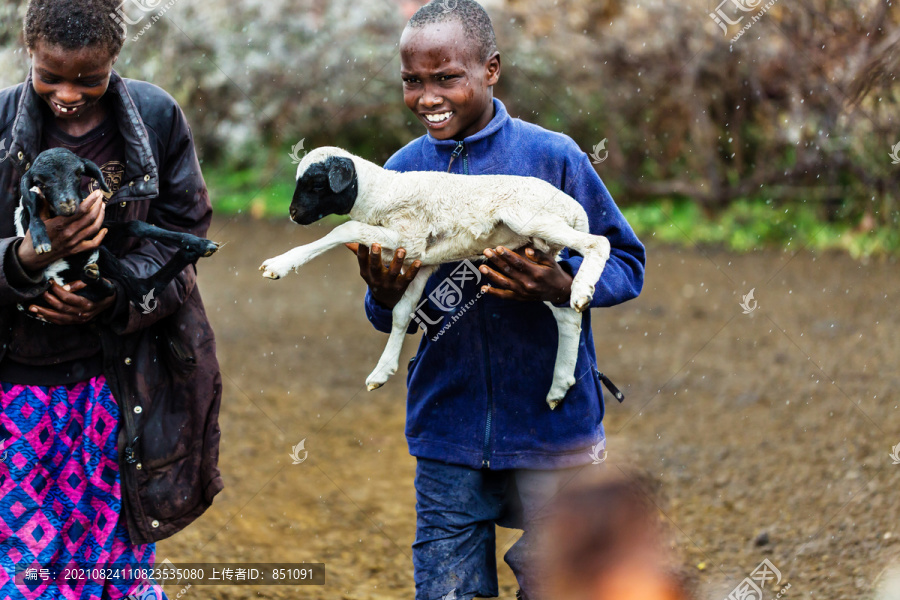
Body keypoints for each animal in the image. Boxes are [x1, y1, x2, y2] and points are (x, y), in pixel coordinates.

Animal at [260, 146, 612, 408]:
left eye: (317, 184)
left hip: (529, 219)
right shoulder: (421, 260)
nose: (293, 214)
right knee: (567, 316)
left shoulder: (409, 236)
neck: (379, 194)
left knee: (599, 243)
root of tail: (575, 208)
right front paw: (382, 371)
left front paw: (279, 265)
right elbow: (402, 314)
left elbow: (343, 229)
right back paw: (559, 385)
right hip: (535, 256)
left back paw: (583, 289)